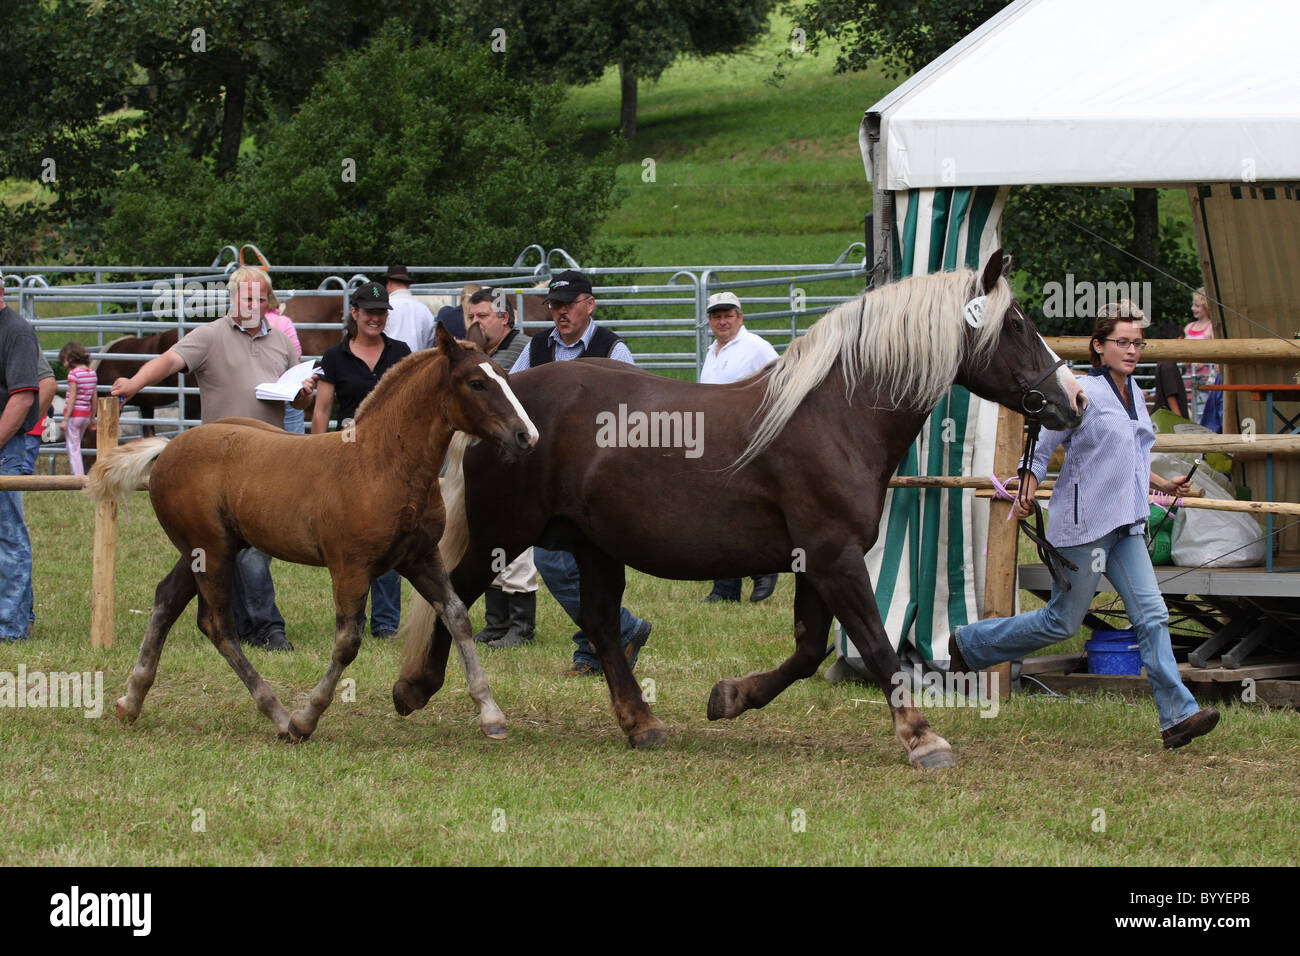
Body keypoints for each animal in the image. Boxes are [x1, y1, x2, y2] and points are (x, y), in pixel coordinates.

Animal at [85, 325, 538, 742]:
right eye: (477, 383)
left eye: (504, 375)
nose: (527, 436)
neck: (383, 463)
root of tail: (167, 449)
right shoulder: (350, 568)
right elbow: (347, 642)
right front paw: (306, 719)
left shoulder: (420, 557)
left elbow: (457, 615)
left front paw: (490, 714)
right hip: (211, 551)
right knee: (217, 625)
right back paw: (277, 713)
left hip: (204, 550)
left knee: (166, 600)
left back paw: (131, 699)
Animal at [392, 251, 1087, 768]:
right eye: (1015, 325)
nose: (1073, 399)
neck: (835, 417)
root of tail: (503, 408)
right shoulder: (835, 559)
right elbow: (875, 645)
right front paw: (921, 736)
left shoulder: (816, 562)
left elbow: (809, 650)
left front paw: (728, 697)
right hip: (503, 535)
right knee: (453, 596)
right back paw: (416, 688)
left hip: (594, 546)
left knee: (599, 623)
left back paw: (641, 723)